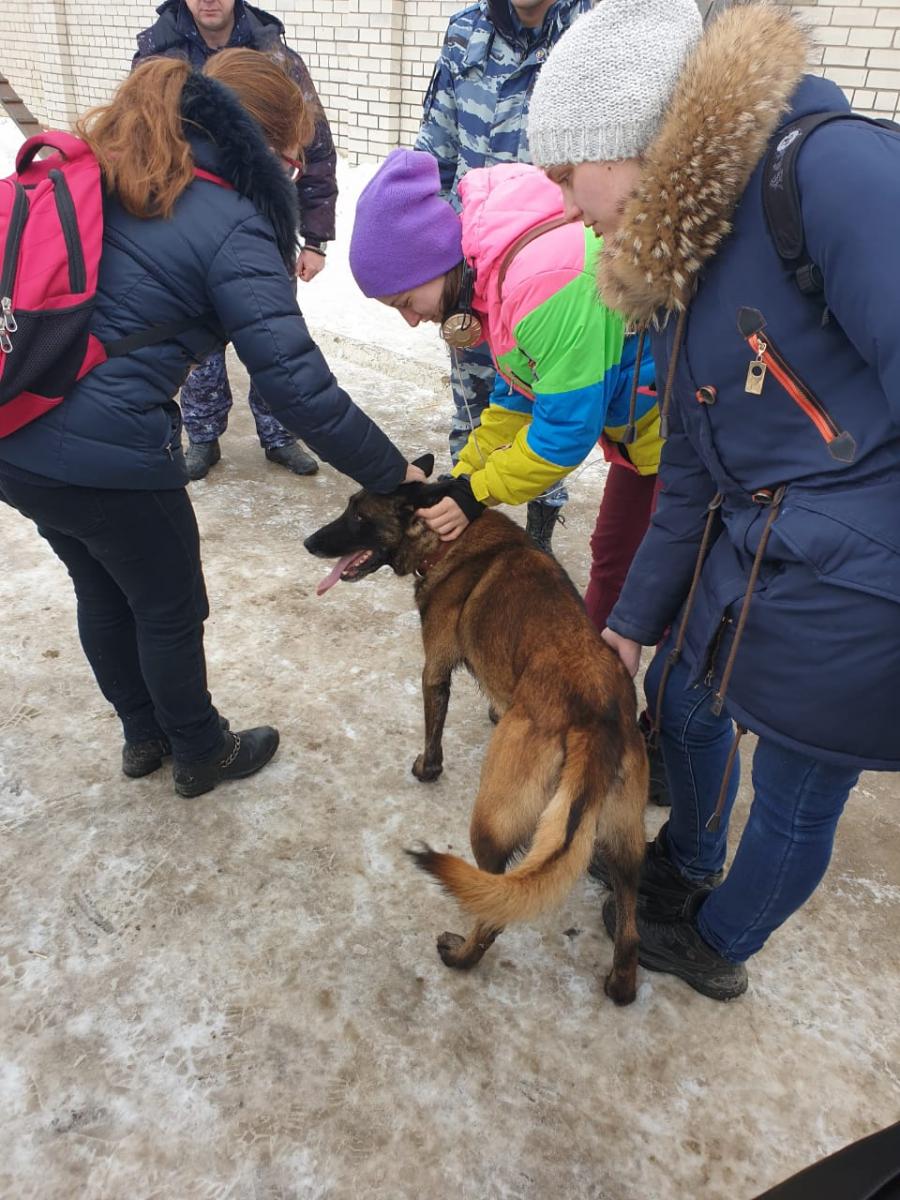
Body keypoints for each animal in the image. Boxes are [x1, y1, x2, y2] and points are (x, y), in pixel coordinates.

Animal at [309, 458, 648, 1003]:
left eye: (359, 516)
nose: (309, 543)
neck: (448, 536)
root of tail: (595, 723)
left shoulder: (434, 669)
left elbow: (433, 729)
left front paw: (426, 769)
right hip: (625, 844)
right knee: (630, 929)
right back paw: (620, 984)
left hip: (490, 823)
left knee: (493, 911)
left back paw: (461, 954)